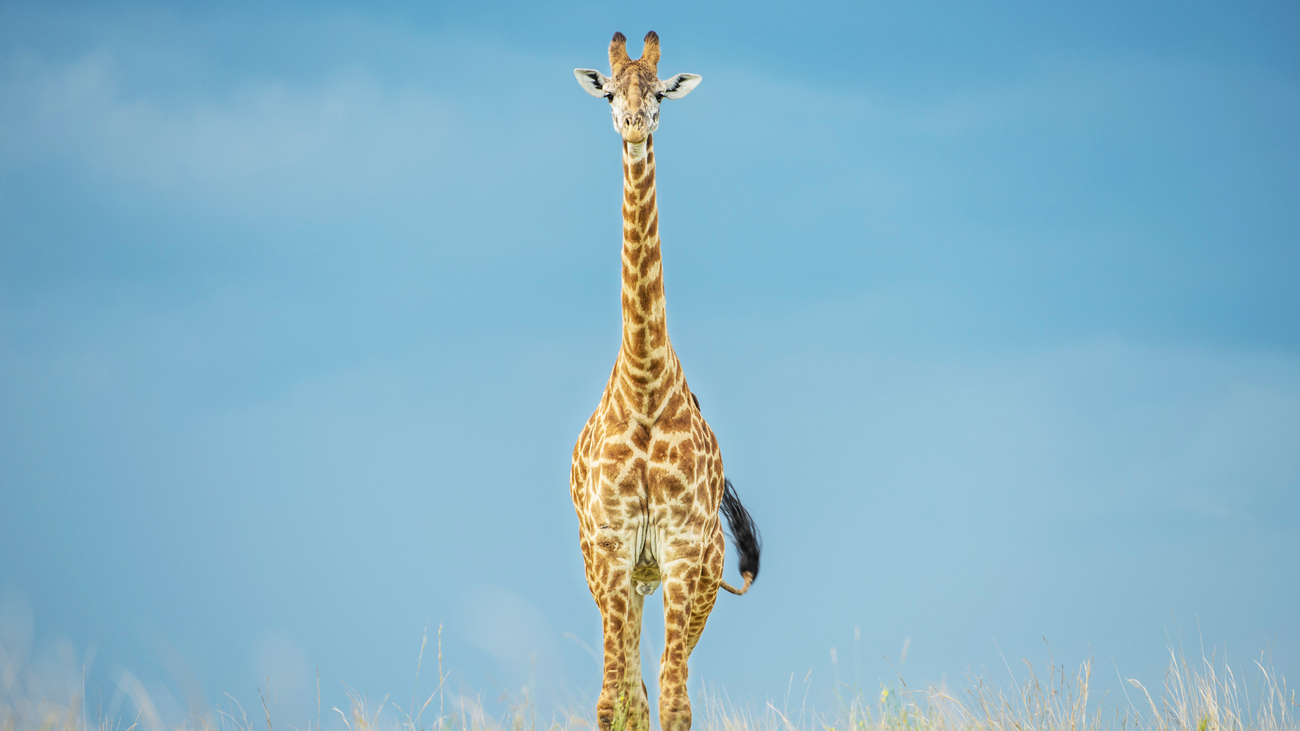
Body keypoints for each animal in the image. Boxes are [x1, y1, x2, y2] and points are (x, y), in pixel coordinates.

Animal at [569, 32, 759, 728]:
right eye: (609, 93)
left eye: (658, 93)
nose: (633, 124)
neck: (646, 385)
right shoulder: (612, 548)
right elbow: (613, 702)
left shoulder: (679, 549)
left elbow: (674, 701)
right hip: (613, 577)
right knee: (628, 689)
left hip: (701, 577)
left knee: (659, 687)